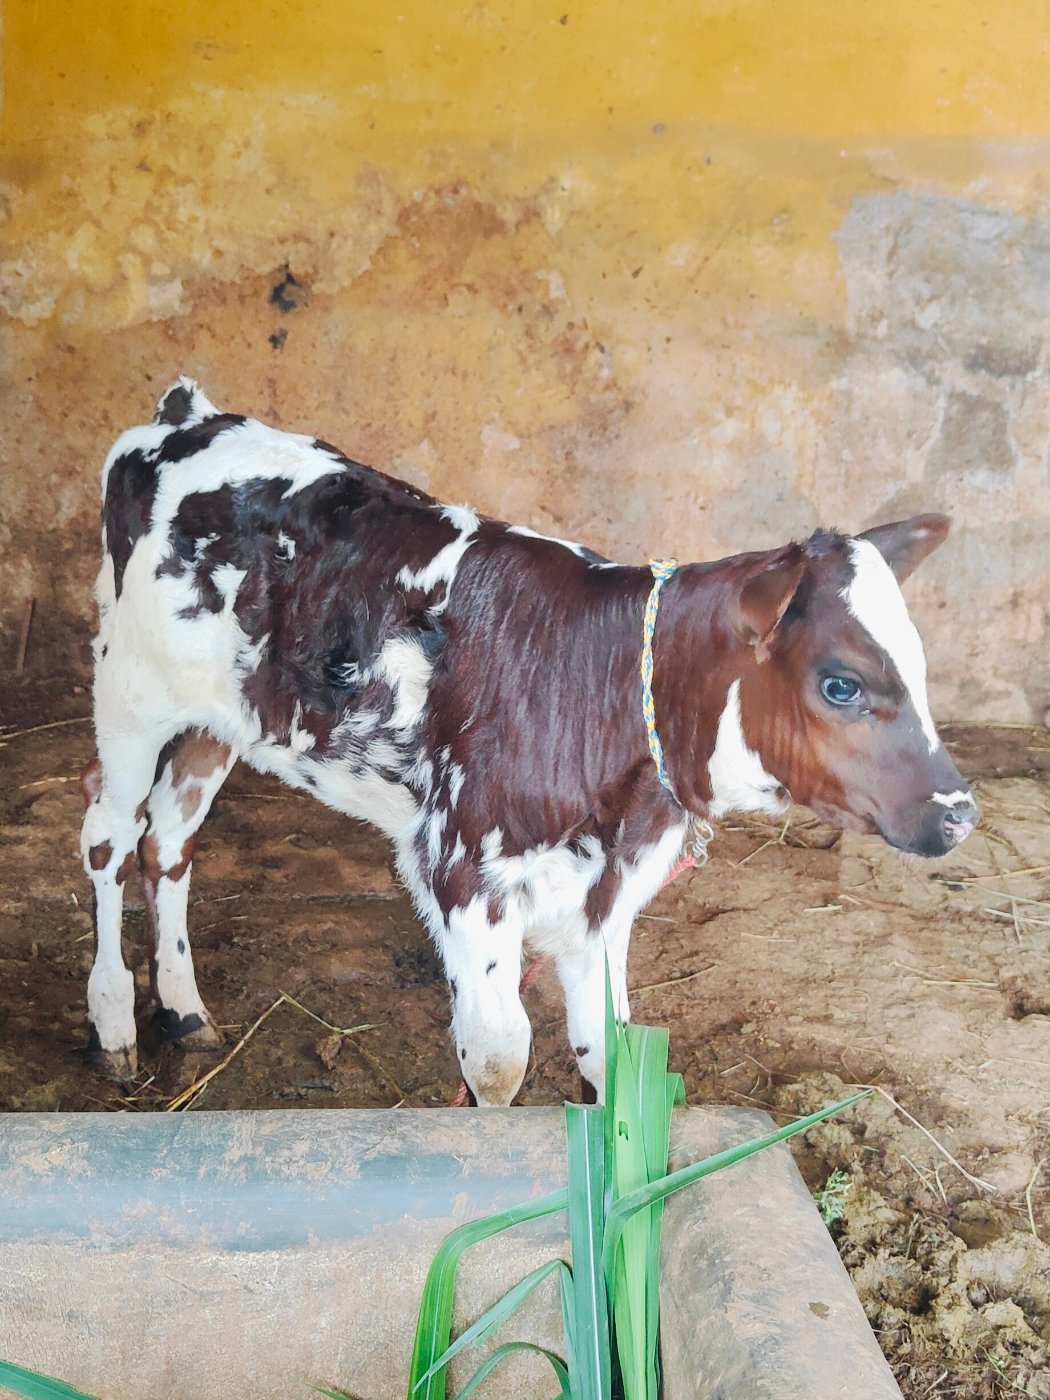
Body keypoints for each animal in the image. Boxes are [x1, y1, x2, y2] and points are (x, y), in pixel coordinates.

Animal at [79, 378, 978, 1104]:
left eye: (920, 663)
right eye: (840, 683)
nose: (960, 812)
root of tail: (186, 415)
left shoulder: (607, 900)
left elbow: (612, 1052)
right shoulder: (465, 871)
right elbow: (499, 1057)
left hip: (219, 719)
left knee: (170, 840)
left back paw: (184, 1009)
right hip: (128, 694)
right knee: (109, 838)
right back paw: (114, 1022)